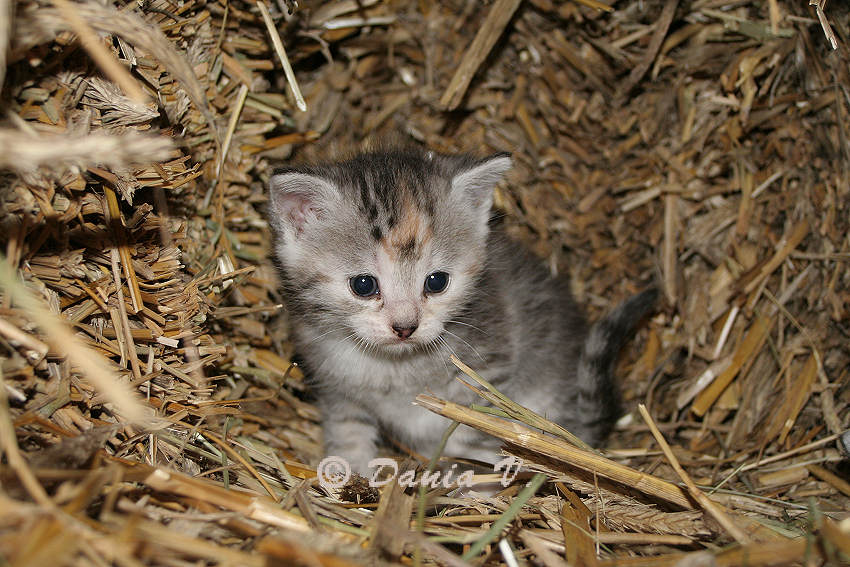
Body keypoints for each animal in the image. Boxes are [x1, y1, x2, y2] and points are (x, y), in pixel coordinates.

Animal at [268, 149, 652, 478]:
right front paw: (349, 474)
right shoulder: (335, 384)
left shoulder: (488, 372)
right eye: (363, 285)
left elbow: (473, 431)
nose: (405, 327)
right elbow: (348, 429)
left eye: (437, 281)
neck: (395, 367)